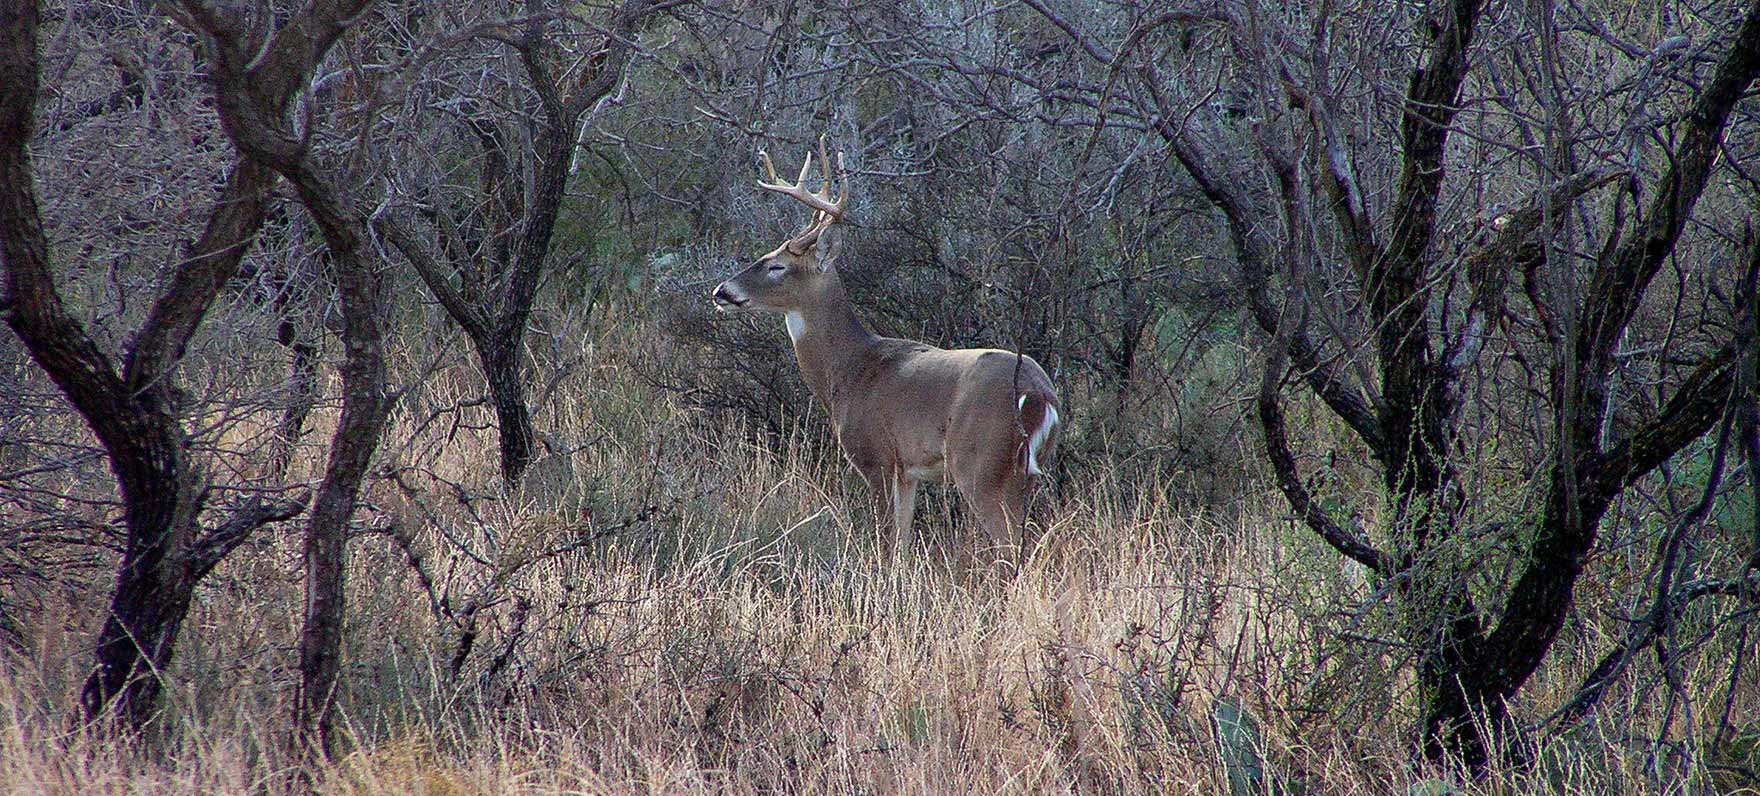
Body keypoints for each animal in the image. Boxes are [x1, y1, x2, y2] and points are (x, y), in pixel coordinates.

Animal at [711, 141, 1056, 567]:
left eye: (777, 265)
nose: (722, 291)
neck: (849, 369)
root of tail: (1038, 393)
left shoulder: (875, 456)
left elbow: (883, 542)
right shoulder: (908, 471)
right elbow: (902, 544)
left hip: (979, 462)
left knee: (1011, 547)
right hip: (1029, 472)